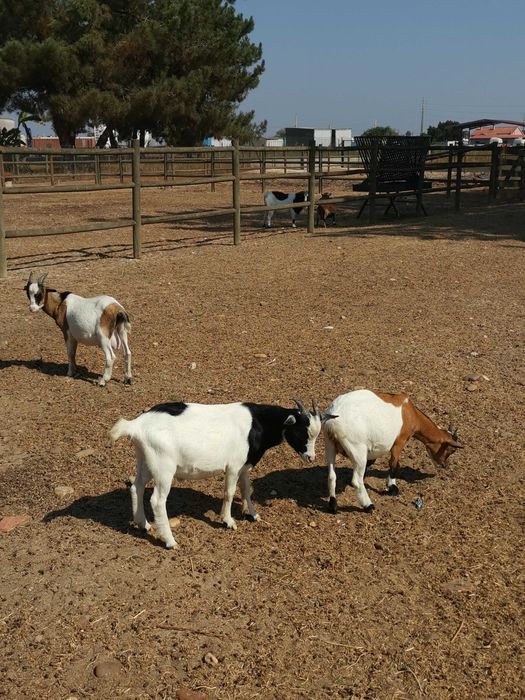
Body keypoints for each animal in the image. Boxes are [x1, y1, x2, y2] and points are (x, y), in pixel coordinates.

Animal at [110, 399, 323, 548]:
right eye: (302, 432)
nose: (311, 457)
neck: (257, 423)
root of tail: (136, 426)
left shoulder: (244, 466)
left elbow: (246, 490)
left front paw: (253, 514)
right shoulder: (234, 466)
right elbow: (229, 493)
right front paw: (228, 521)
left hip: (146, 461)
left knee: (137, 486)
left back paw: (143, 524)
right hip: (163, 467)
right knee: (157, 500)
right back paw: (170, 541)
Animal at [322, 389, 463, 513]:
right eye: (451, 450)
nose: (444, 465)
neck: (411, 413)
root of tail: (333, 420)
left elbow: (371, 462)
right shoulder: (399, 441)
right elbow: (394, 464)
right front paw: (393, 488)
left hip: (330, 445)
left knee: (331, 476)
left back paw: (333, 506)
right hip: (357, 448)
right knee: (356, 480)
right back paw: (368, 505)